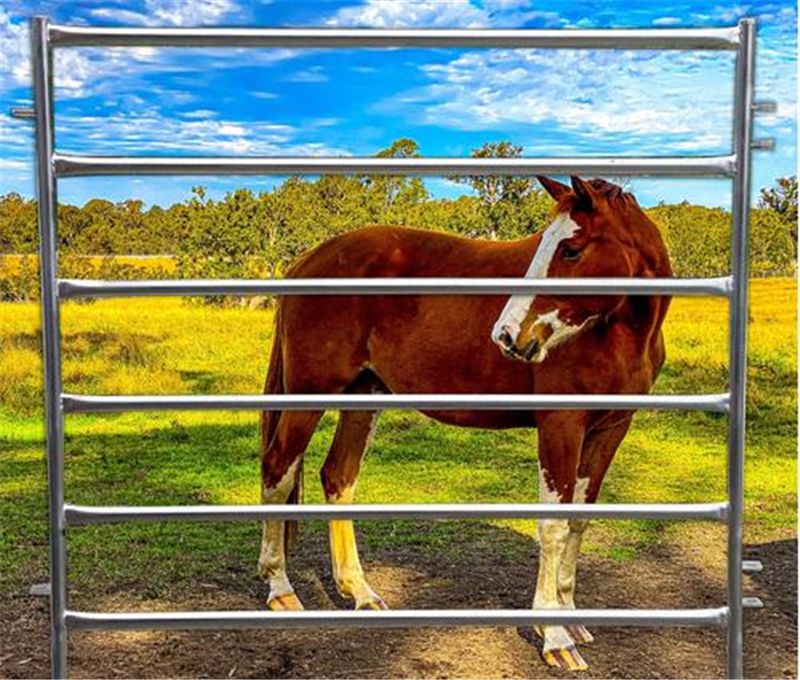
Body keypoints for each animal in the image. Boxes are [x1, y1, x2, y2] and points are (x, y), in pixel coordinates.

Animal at [260, 175, 672, 668]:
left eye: (571, 249)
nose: (507, 336)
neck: (616, 334)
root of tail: (311, 257)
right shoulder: (561, 425)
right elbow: (553, 526)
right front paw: (554, 637)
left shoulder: (610, 430)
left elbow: (577, 523)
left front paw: (571, 619)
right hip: (310, 395)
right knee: (278, 469)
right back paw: (280, 589)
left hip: (364, 394)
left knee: (339, 477)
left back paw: (360, 592)